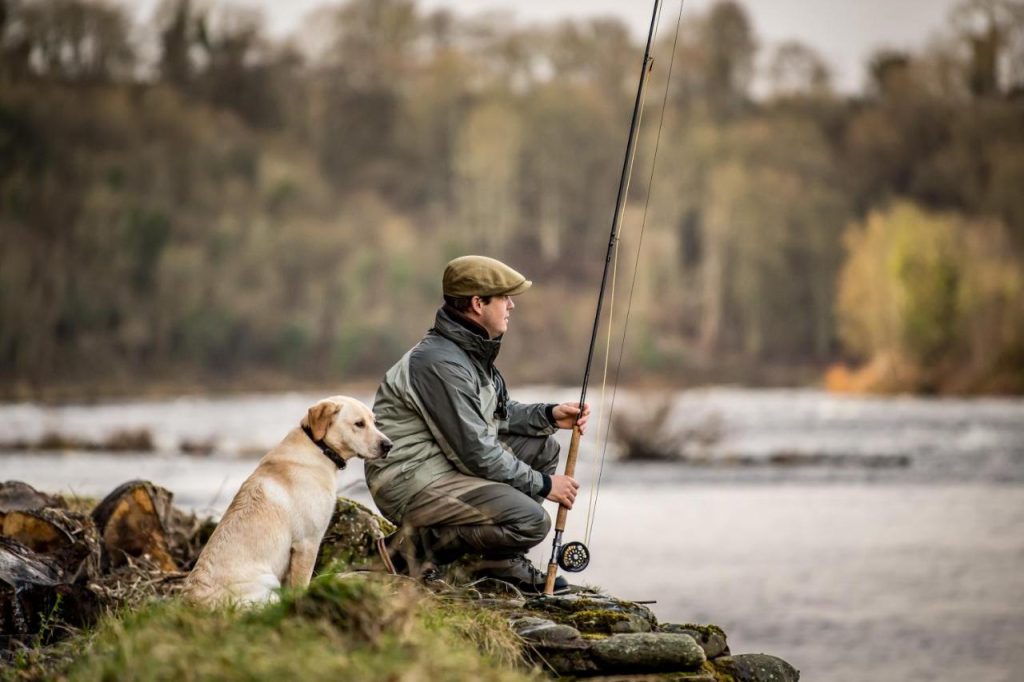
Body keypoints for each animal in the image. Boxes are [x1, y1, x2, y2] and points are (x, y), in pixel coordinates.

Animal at [184, 395, 391, 602]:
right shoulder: (307, 542)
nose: (388, 445)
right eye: (359, 423)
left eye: (374, 422)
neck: (319, 448)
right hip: (268, 581)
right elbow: (301, 584)